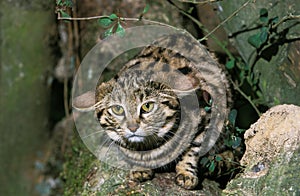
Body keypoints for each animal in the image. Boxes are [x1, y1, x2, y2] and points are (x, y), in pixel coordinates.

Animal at [73, 34, 232, 190]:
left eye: (147, 106)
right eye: (117, 109)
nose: (132, 127)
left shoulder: (207, 117)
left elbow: (193, 148)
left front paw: (186, 172)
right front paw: (138, 167)